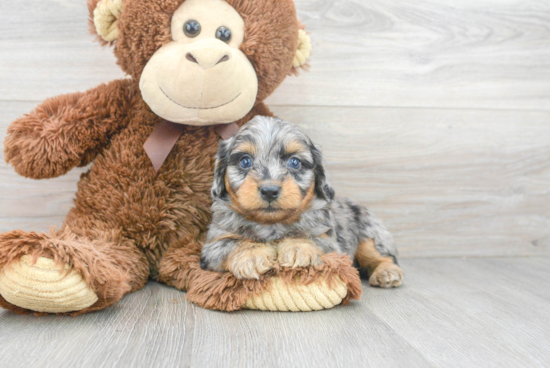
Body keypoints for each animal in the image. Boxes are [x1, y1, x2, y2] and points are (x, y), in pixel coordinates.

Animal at [203, 115, 406, 288]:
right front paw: (251, 254)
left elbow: (310, 238)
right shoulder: (213, 244)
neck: (271, 224)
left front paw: (298, 248)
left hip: (369, 234)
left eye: (294, 162)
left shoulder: (329, 242)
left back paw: (386, 272)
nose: (269, 191)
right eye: (245, 161)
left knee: (381, 255)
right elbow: (231, 244)